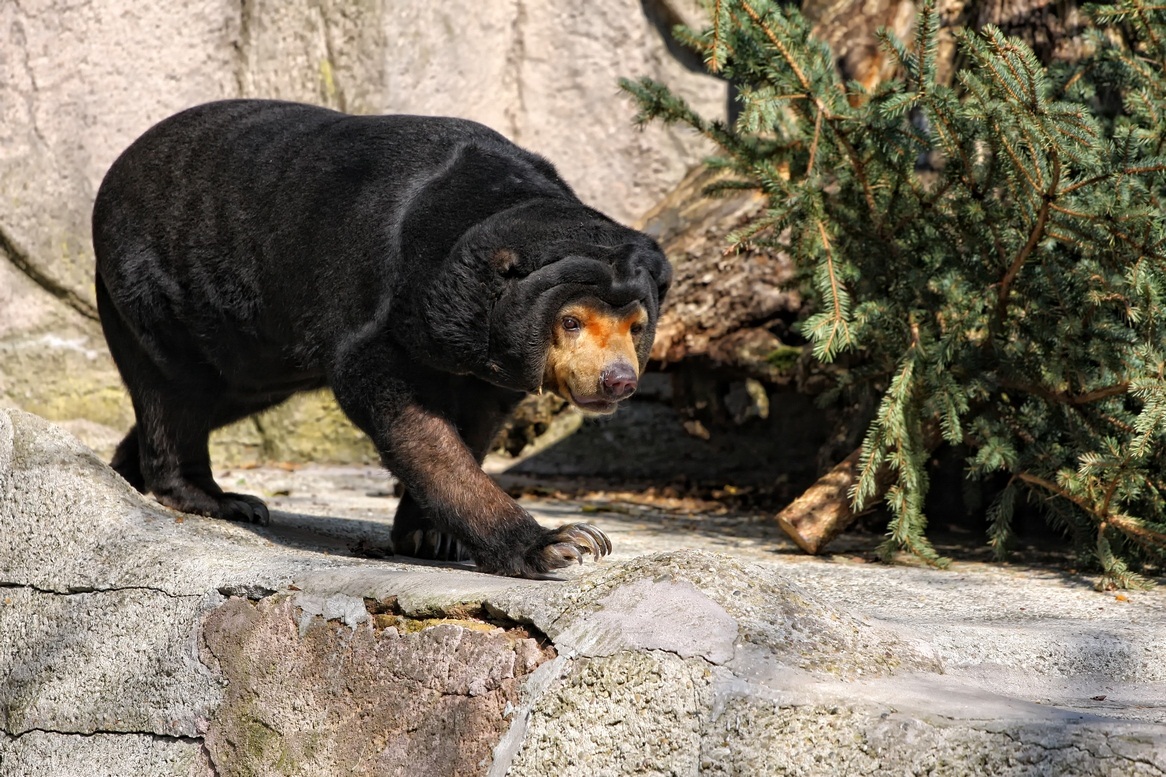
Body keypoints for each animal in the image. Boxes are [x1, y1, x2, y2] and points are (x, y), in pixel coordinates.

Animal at [94, 99, 671, 574]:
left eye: (637, 326)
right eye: (570, 321)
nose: (617, 381)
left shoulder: (483, 356)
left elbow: (476, 420)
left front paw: (431, 536)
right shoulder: (383, 299)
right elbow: (404, 414)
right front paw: (563, 543)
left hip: (249, 351)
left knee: (220, 396)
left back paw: (128, 467)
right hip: (161, 293)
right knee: (177, 388)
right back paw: (214, 496)